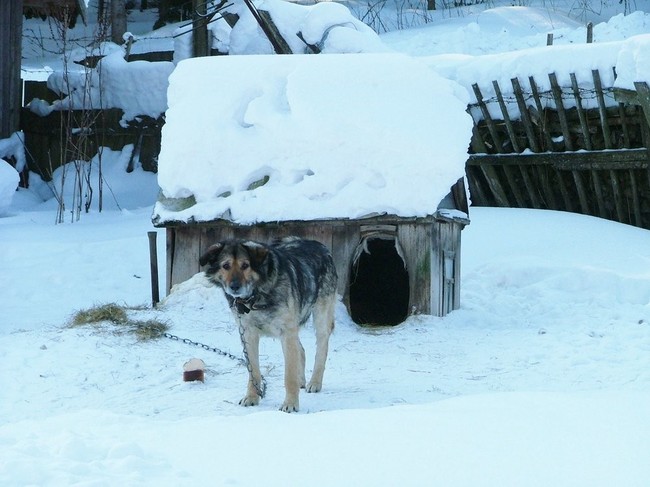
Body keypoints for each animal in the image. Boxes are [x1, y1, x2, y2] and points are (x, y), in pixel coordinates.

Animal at [199, 237, 337, 412]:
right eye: (226, 266)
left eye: (245, 265)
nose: (235, 287)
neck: (256, 295)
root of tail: (318, 244)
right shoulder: (248, 334)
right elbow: (254, 372)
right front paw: (252, 397)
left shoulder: (286, 333)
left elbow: (289, 375)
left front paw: (290, 404)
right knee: (301, 350)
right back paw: (302, 380)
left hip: (320, 317)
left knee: (321, 348)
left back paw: (315, 382)